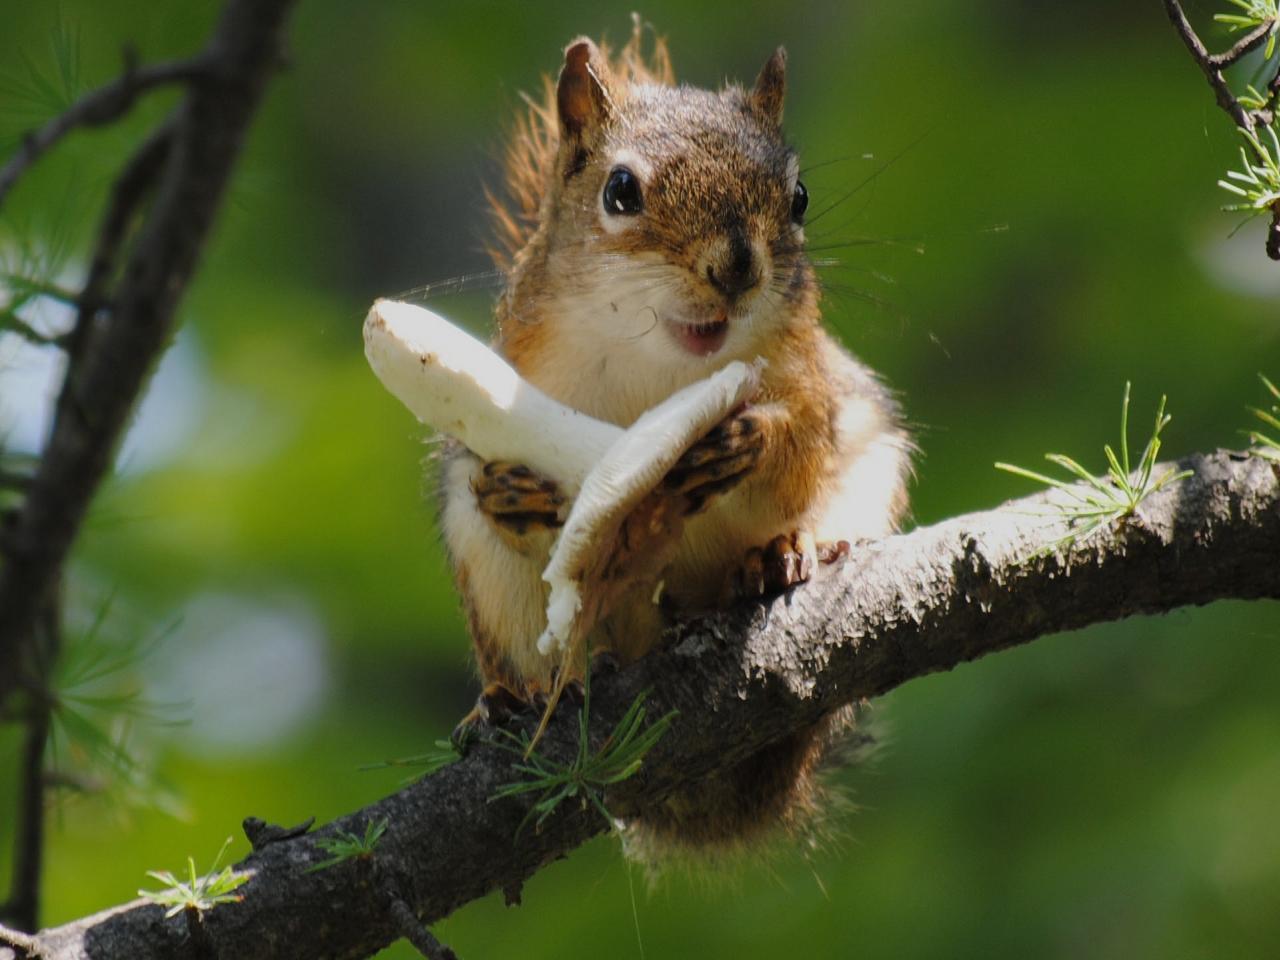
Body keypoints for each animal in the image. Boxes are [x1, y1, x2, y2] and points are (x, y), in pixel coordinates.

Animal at [440, 22, 911, 860]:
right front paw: (512, 492)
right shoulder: (519, 384)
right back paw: (511, 698)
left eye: (799, 198)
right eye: (620, 191)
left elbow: (801, 442)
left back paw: (782, 557)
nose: (737, 267)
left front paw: (754, 439)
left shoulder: (813, 379)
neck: (664, 365)